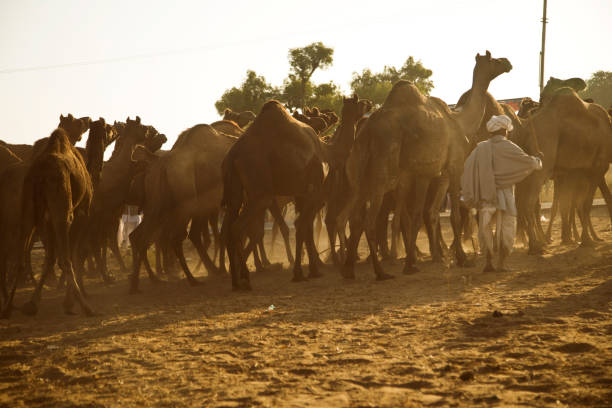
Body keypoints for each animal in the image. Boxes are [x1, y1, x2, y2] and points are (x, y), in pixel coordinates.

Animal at [338, 51, 512, 278]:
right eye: (494, 60)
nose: (508, 63)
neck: (461, 121)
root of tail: (366, 132)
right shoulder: (454, 166)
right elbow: (454, 215)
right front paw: (461, 258)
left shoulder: (424, 173)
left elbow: (420, 215)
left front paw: (412, 263)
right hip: (383, 172)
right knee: (369, 220)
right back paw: (380, 272)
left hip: (360, 174)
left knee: (355, 218)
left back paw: (349, 270)